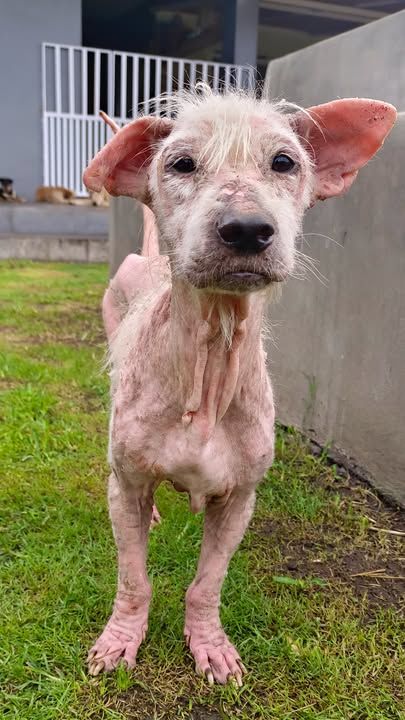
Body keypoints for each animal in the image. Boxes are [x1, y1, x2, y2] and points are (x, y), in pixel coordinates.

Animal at [82, 87, 394, 684]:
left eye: (285, 162)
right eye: (180, 163)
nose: (247, 228)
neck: (208, 369)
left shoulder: (241, 498)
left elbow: (207, 584)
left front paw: (209, 645)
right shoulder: (127, 483)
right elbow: (133, 579)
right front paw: (121, 640)